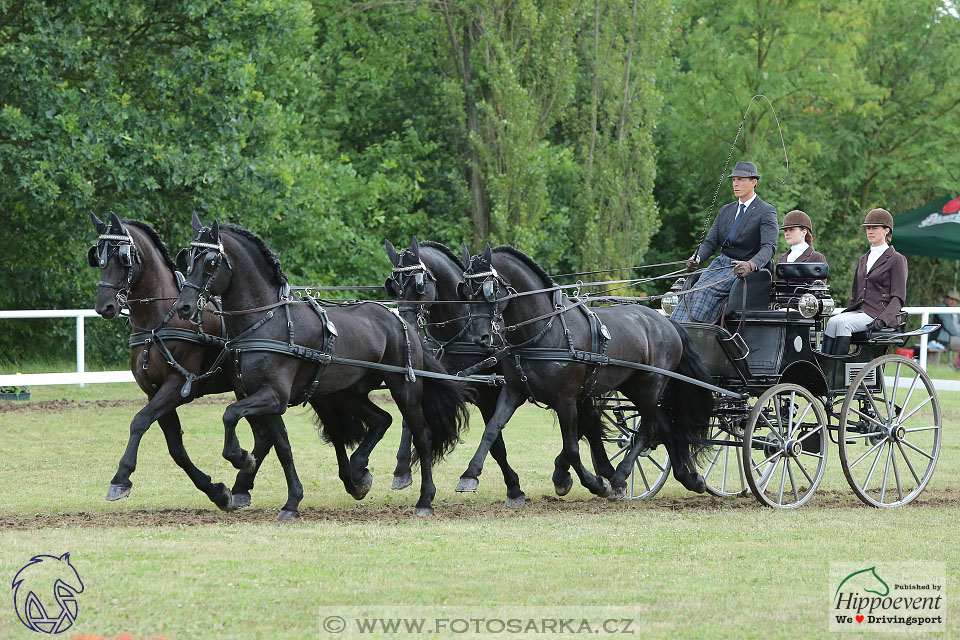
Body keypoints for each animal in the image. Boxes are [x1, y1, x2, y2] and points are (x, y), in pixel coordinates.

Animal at [89, 212, 262, 512]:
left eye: (123, 256)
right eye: (97, 256)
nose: (105, 306)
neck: (158, 321)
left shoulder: (178, 387)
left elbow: (139, 421)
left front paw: (121, 477)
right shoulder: (154, 392)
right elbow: (176, 449)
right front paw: (216, 491)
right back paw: (242, 485)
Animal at [175, 218, 468, 516]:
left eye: (210, 262)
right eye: (187, 259)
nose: (183, 307)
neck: (266, 320)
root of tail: (400, 319)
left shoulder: (273, 396)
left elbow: (229, 414)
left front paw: (241, 458)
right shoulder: (265, 400)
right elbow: (283, 448)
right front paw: (292, 501)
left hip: (404, 388)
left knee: (422, 436)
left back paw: (424, 499)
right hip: (346, 393)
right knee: (381, 420)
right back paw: (358, 473)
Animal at [458, 244, 712, 496]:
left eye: (490, 291)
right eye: (466, 293)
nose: (479, 337)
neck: (545, 331)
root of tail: (667, 322)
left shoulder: (566, 399)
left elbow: (571, 447)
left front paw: (593, 482)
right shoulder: (514, 391)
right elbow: (492, 430)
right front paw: (470, 474)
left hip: (650, 387)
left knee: (647, 429)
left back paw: (620, 477)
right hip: (634, 388)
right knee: (665, 425)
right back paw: (689, 478)